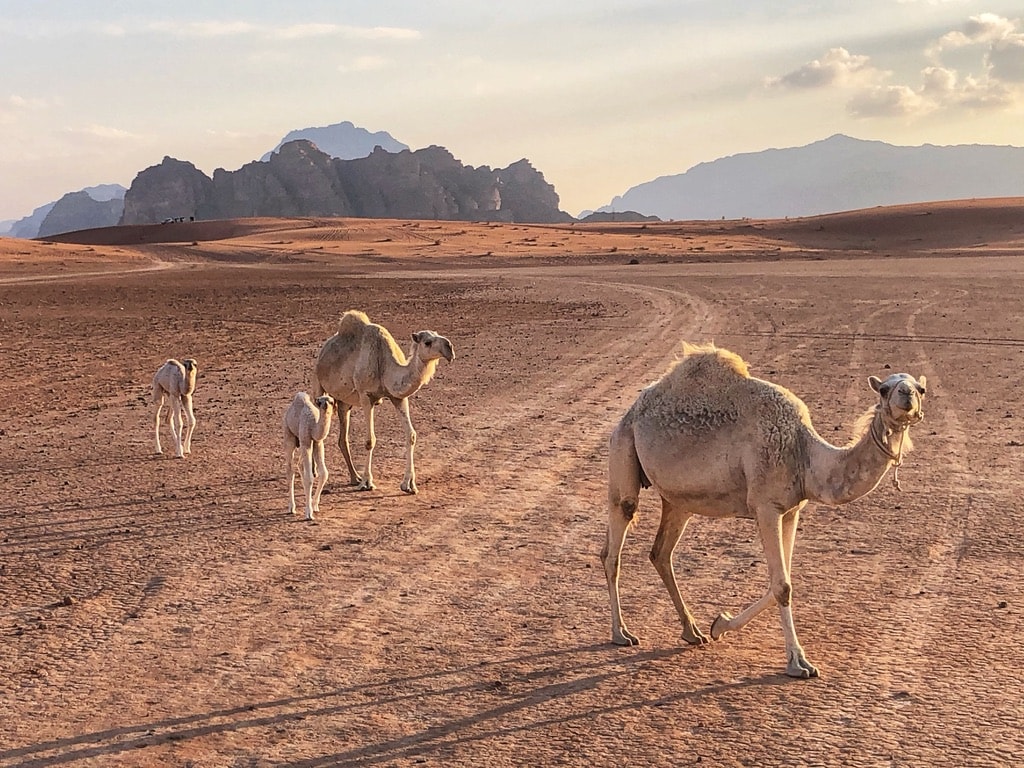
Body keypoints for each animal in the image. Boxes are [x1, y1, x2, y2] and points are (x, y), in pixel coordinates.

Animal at [284, 392, 336, 521]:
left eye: (332, 401)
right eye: (319, 401)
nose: (326, 406)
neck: (313, 425)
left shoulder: (318, 442)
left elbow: (324, 473)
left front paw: (314, 505)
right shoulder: (306, 440)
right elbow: (309, 478)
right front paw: (309, 513)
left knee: (299, 464)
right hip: (288, 433)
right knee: (290, 468)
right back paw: (291, 507)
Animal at [314, 310, 454, 494]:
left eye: (437, 334)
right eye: (427, 342)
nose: (449, 348)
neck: (385, 365)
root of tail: (325, 348)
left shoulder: (398, 397)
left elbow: (411, 435)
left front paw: (409, 485)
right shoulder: (366, 396)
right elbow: (370, 441)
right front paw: (367, 483)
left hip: (344, 402)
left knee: (342, 438)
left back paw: (354, 477)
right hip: (318, 383)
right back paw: (318, 474)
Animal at [602, 342, 926, 678]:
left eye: (921, 389)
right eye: (885, 389)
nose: (906, 395)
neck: (805, 454)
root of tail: (630, 412)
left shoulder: (792, 509)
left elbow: (780, 582)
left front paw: (719, 624)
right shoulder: (766, 506)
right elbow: (782, 586)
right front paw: (798, 662)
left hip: (679, 501)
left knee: (661, 553)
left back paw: (692, 632)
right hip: (623, 449)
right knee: (615, 541)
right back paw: (621, 633)